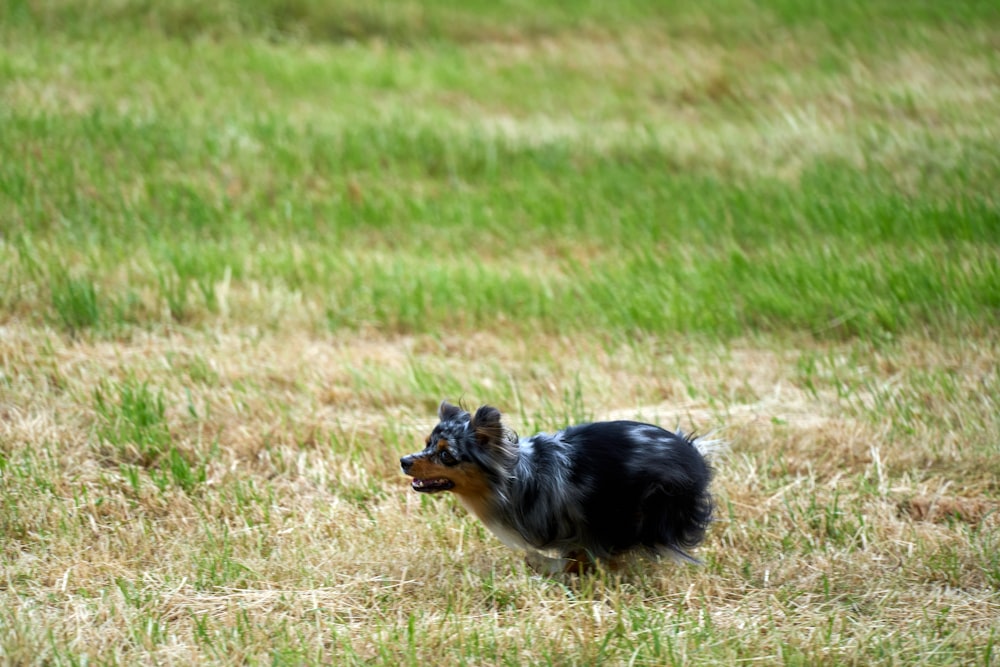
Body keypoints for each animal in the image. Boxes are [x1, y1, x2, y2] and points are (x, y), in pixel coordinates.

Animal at [402, 402, 724, 576]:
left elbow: (578, 557)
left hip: (641, 506)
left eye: (446, 455)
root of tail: (692, 452)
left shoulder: (592, 526)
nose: (404, 461)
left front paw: (544, 566)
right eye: (427, 443)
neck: (514, 478)